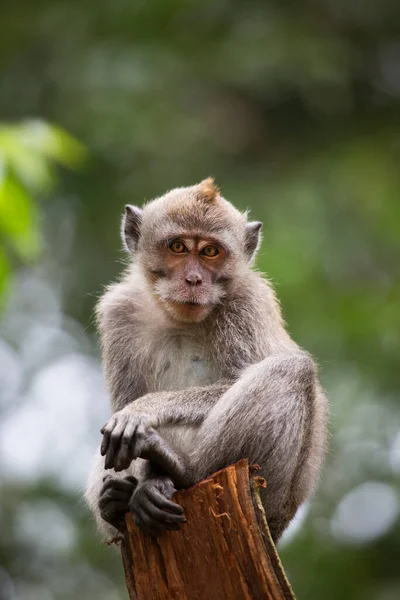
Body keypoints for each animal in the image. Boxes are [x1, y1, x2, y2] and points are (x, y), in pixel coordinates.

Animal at [84, 178, 328, 544]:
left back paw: (180, 469)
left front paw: (144, 409)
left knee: (291, 370)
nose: (193, 280)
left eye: (210, 252)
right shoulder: (120, 312)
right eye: (178, 247)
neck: (180, 319)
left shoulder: (247, 304)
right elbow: (120, 415)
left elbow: (235, 380)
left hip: (273, 497)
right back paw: (118, 500)